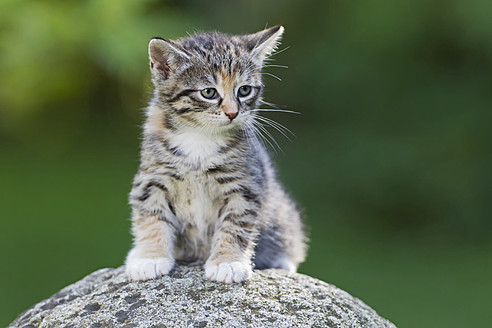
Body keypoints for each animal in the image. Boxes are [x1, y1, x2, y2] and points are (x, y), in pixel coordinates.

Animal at [125, 25, 306, 284]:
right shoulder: (151, 178)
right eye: (209, 92)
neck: (200, 137)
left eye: (244, 90)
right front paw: (150, 258)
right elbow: (151, 216)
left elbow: (235, 225)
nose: (232, 112)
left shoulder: (245, 184)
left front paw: (227, 262)